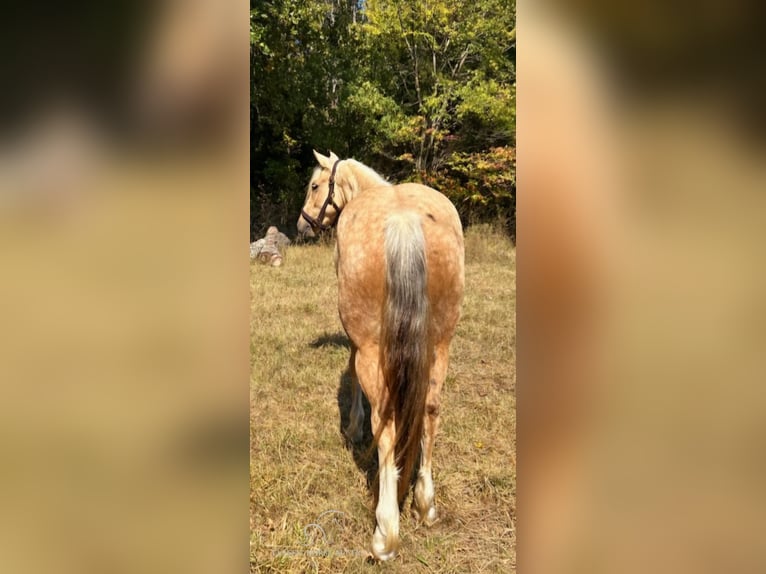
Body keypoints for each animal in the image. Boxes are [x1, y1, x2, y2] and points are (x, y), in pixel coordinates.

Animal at [296, 151, 464, 560]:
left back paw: (385, 531)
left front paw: (353, 426)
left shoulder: (360, 343)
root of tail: (403, 220)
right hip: (440, 345)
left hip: (376, 350)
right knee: (430, 411)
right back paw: (424, 504)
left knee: (385, 427)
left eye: (314, 185)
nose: (302, 225)